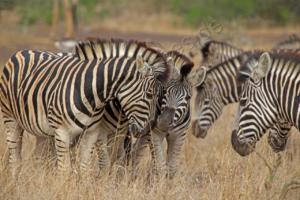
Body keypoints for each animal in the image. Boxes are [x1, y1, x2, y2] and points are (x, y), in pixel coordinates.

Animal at [0, 39, 170, 177]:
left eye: (161, 96)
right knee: (15, 157)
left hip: (42, 130)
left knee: (39, 158)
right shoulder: (66, 132)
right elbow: (69, 169)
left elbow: (89, 167)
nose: (149, 128)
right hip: (11, 119)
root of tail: (22, 51)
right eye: (149, 94)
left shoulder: (96, 133)